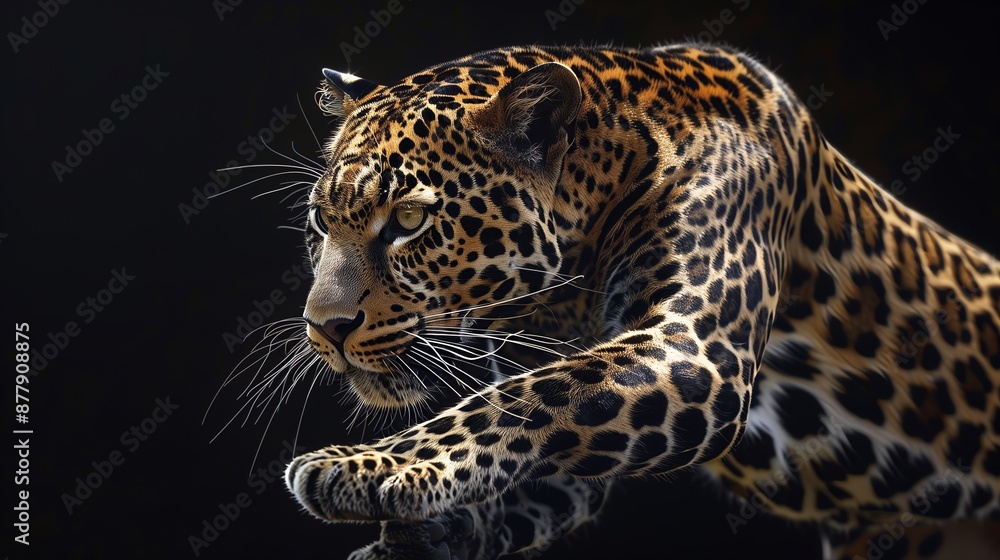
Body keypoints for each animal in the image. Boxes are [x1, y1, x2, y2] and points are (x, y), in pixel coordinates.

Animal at [281, 43, 1000, 559]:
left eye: (408, 220)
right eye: (321, 220)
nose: (325, 327)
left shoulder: (696, 351)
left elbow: (525, 397)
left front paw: (362, 465)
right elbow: (518, 447)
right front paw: (428, 532)